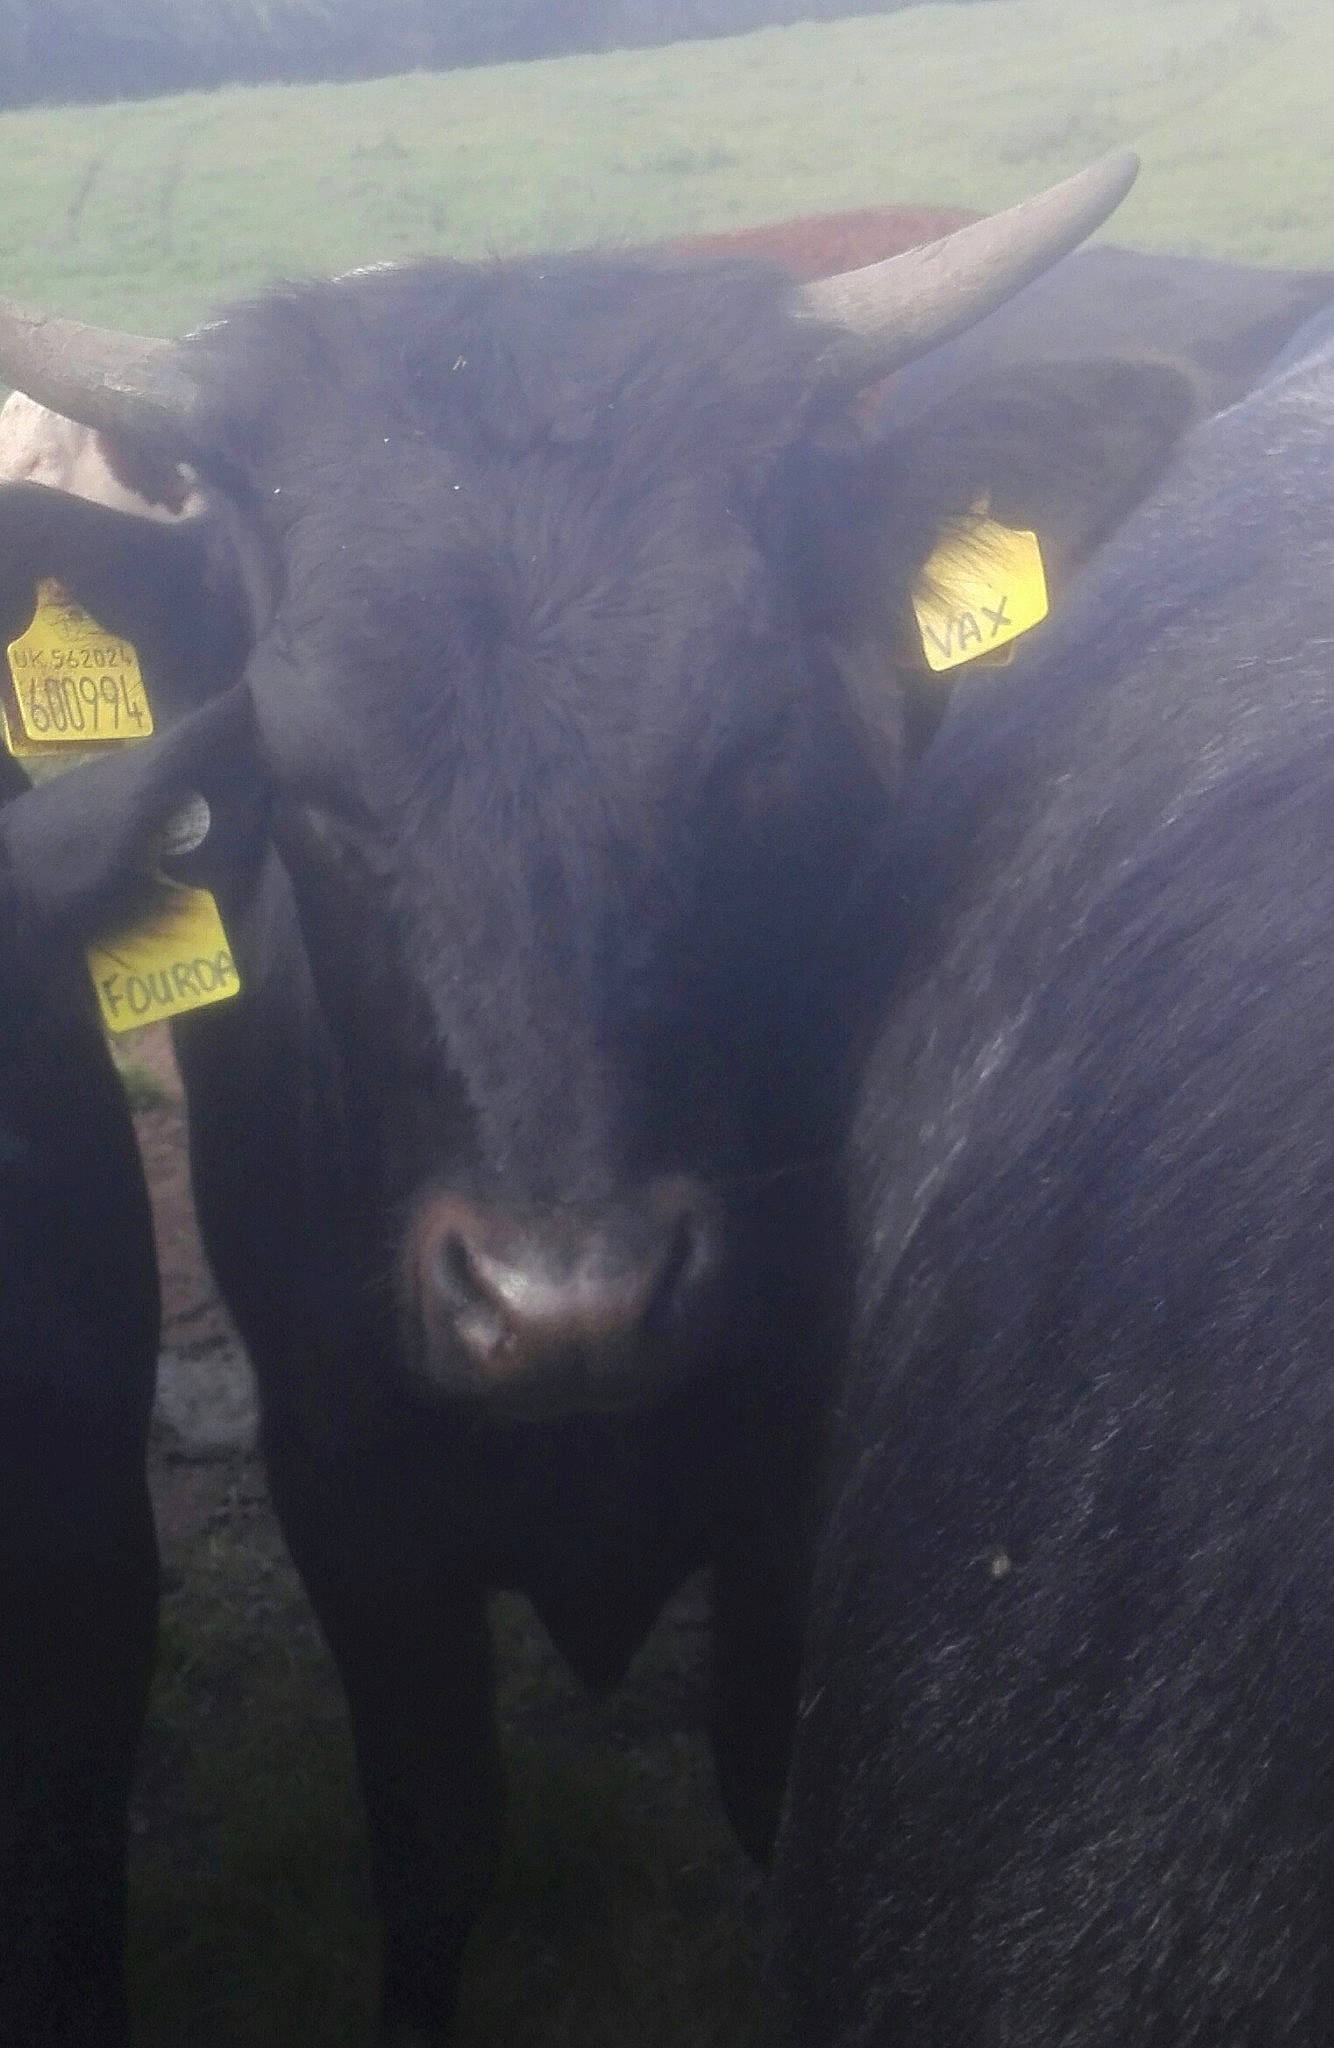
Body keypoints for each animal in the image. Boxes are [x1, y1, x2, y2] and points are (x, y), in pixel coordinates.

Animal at [0, 153, 1212, 2042]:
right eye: (299, 773)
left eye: (762, 741)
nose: (562, 1303)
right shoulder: (346, 1498)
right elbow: (435, 1849)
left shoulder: (786, 1492)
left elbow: (762, 1792)